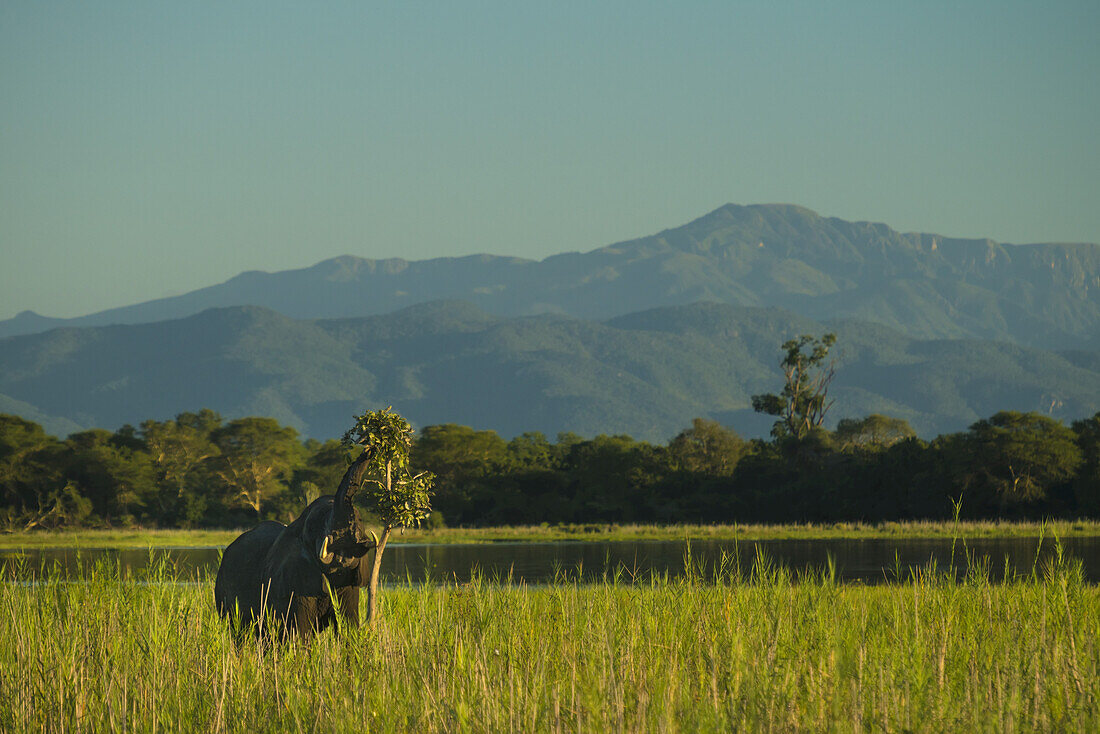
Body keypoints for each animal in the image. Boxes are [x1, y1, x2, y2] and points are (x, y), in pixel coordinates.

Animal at [213, 448, 378, 638]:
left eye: (359, 519)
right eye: (316, 526)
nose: (370, 449)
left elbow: (348, 626)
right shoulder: (292, 577)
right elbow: (300, 632)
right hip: (224, 595)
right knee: (240, 632)